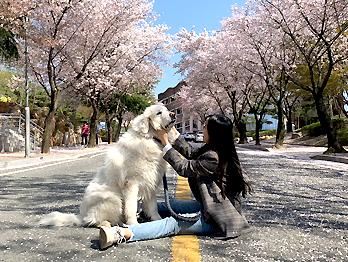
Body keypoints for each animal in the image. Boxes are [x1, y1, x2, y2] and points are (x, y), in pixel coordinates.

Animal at [39, 104, 175, 227]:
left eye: (167, 109)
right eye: (158, 113)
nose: (173, 114)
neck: (150, 138)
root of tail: (81, 216)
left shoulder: (150, 182)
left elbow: (153, 207)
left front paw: (158, 220)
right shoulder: (131, 183)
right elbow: (131, 207)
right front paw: (134, 225)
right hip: (114, 199)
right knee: (94, 220)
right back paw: (109, 224)